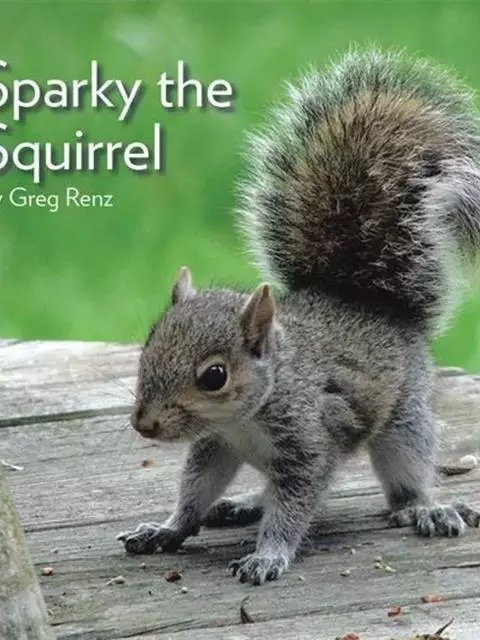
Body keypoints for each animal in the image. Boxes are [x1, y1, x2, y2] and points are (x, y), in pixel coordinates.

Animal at [117, 49, 480, 585]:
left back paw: (423, 508)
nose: (144, 425)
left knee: (405, 475)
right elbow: (195, 492)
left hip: (404, 418)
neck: (246, 418)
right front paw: (166, 529)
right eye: (147, 351)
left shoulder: (310, 444)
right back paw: (244, 503)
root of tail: (367, 301)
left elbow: (293, 508)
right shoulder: (215, 446)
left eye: (214, 376)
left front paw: (268, 556)